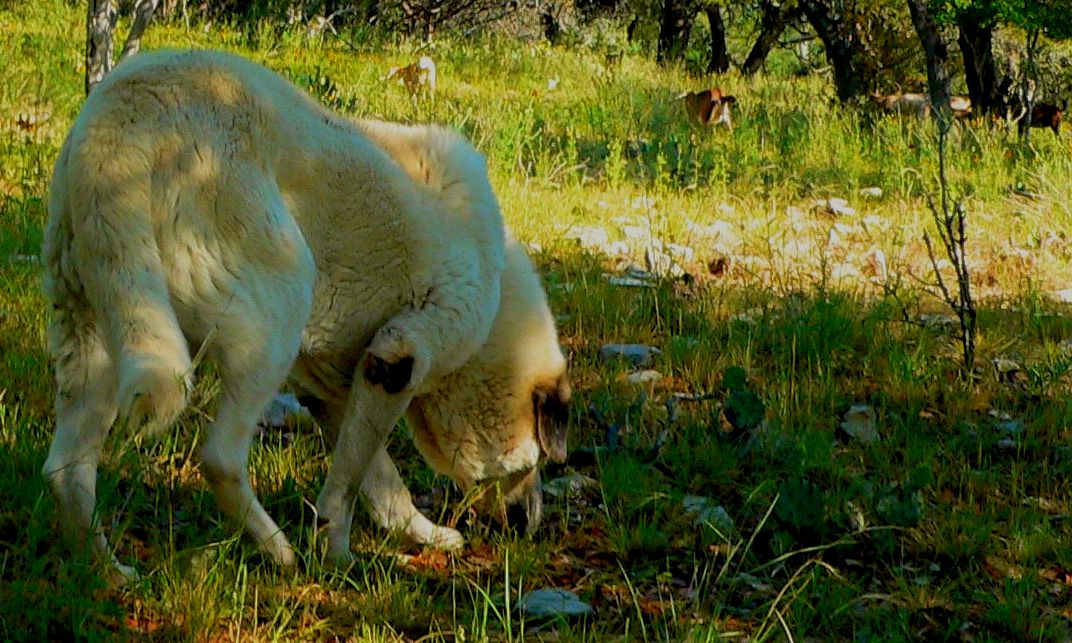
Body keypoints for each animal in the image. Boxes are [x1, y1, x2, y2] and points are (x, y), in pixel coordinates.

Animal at [41, 49, 570, 582]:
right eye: (536, 462)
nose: (532, 525)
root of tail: (123, 117)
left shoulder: (338, 387)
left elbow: (380, 478)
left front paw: (415, 533)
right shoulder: (396, 361)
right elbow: (351, 480)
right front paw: (337, 554)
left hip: (102, 334)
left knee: (66, 472)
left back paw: (106, 571)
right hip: (274, 317)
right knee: (220, 458)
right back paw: (279, 551)